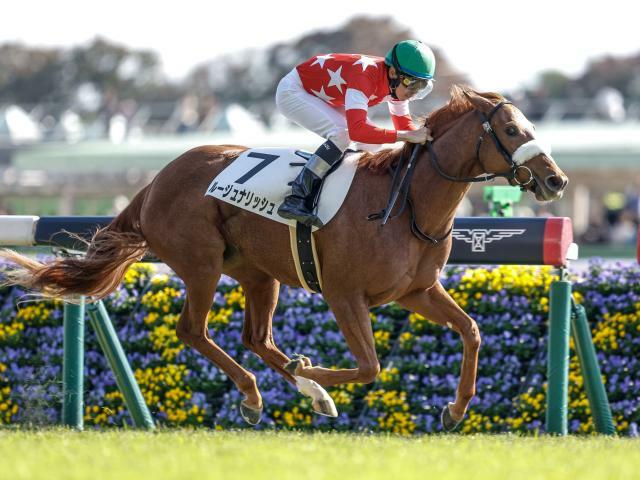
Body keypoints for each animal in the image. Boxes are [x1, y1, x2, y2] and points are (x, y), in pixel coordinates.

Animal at [1, 86, 568, 432]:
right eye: (512, 131)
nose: (555, 179)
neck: (404, 204)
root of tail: (153, 183)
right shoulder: (344, 294)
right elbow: (370, 366)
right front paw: (314, 370)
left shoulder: (415, 291)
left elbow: (470, 331)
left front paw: (454, 409)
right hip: (202, 264)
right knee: (194, 331)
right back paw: (261, 395)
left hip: (257, 274)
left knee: (256, 337)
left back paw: (305, 389)